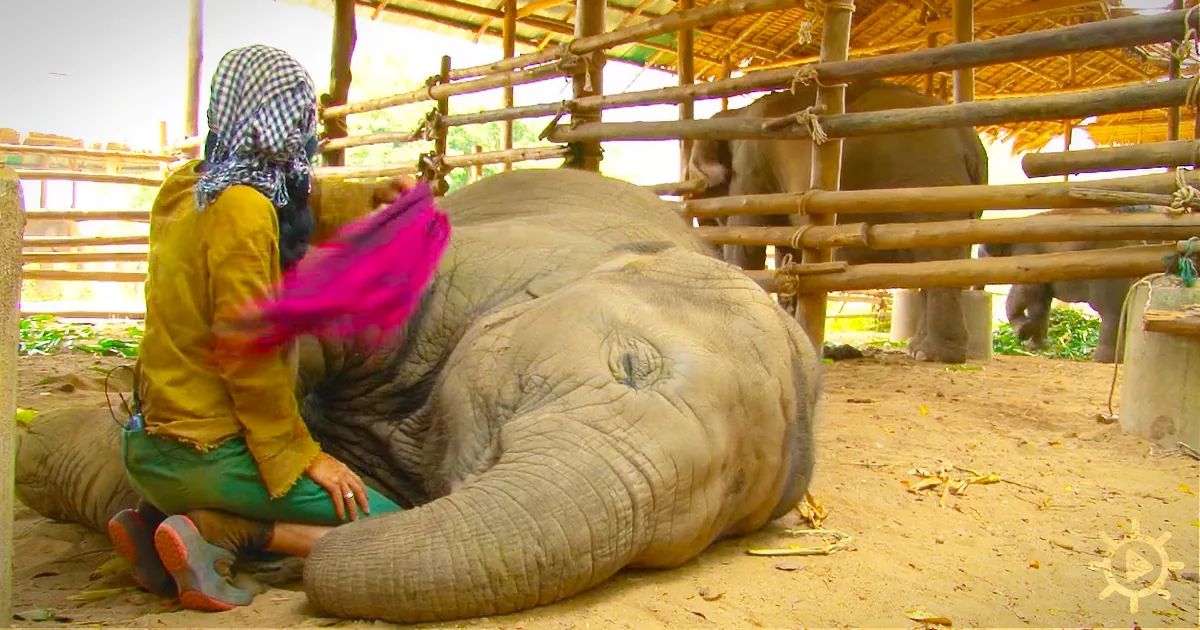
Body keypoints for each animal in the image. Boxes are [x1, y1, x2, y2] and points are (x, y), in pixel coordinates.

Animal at [687, 79, 989, 364]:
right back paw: (919, 350)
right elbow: (788, 252)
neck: (735, 114)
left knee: (936, 257)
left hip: (930, 184)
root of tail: (971, 143)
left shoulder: (752, 169)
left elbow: (748, 242)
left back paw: (931, 355)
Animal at [977, 205, 1165, 364]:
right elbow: (1040, 299)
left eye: (981, 254)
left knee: (1110, 313)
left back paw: (1101, 360)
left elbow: (1028, 288)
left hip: (1109, 274)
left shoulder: (1027, 253)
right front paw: (1038, 346)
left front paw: (1023, 332)